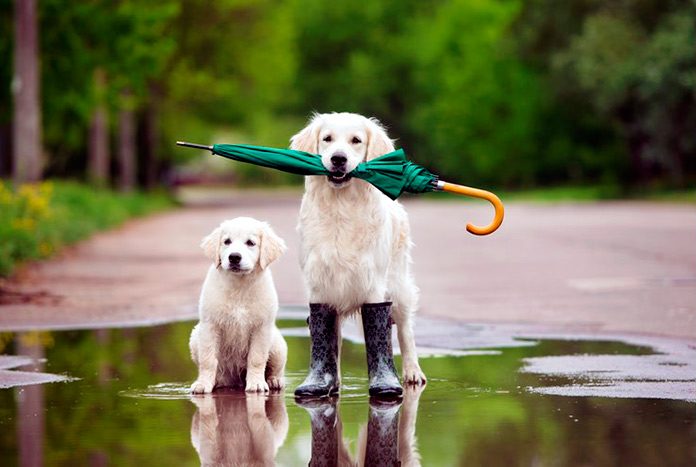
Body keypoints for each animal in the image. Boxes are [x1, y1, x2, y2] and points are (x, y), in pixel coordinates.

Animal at [189, 218, 286, 394]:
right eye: (227, 241)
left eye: (250, 243)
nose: (234, 257)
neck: (239, 286)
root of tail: (234, 382)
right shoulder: (209, 325)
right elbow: (207, 359)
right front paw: (203, 384)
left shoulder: (262, 327)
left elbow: (257, 358)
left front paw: (256, 384)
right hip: (195, 337)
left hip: (277, 344)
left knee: (275, 368)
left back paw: (274, 380)